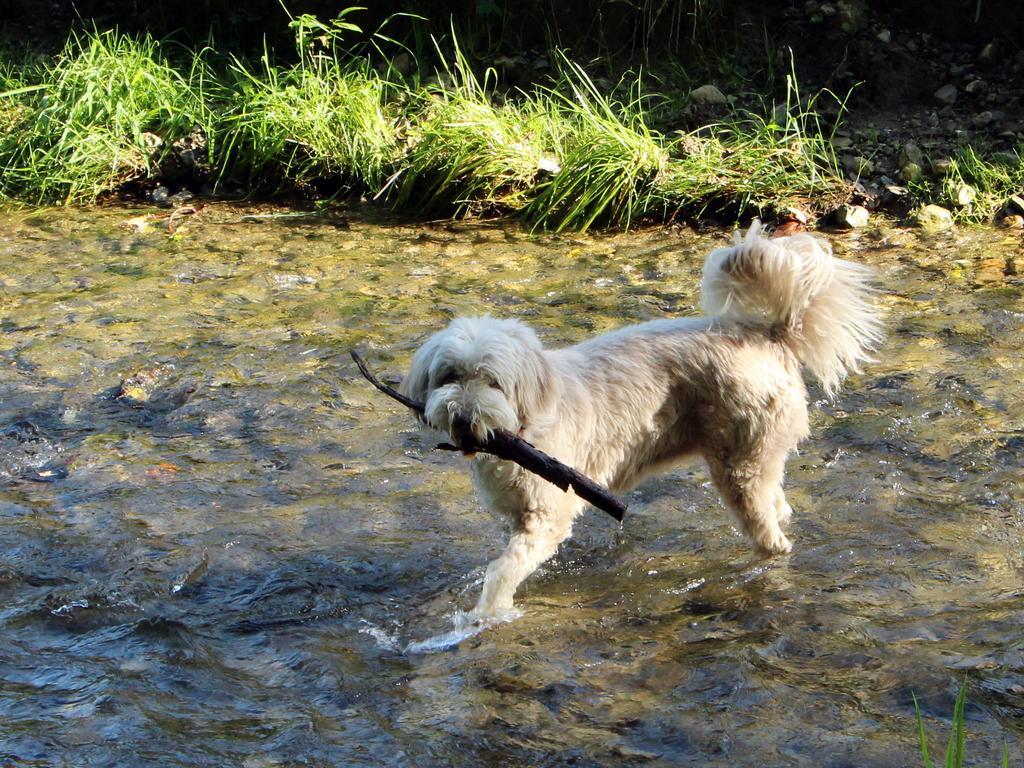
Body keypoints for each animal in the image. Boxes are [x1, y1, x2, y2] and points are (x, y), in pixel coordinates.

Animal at [399, 222, 880, 618]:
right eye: (449, 376)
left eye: (492, 381)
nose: (462, 415)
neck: (524, 425)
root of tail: (768, 335)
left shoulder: (546, 515)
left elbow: (503, 569)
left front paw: (488, 614)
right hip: (759, 456)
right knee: (780, 502)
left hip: (738, 466)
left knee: (772, 536)